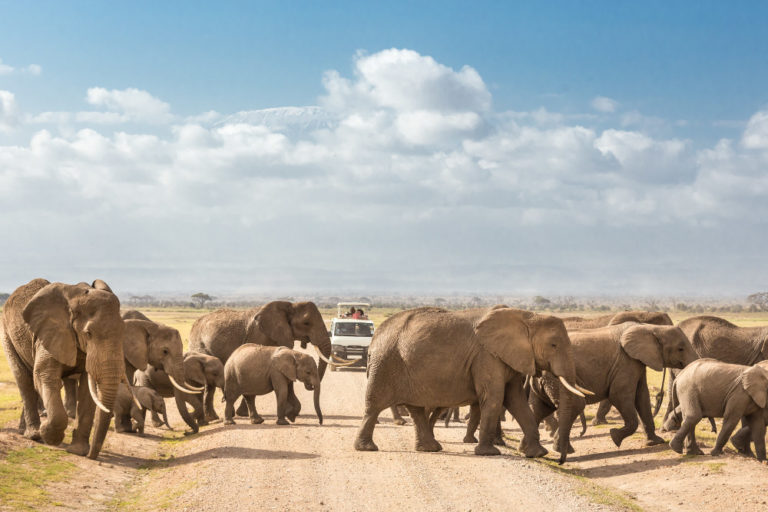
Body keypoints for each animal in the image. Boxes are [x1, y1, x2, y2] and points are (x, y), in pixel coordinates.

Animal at [0, 280, 125, 460]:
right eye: (88, 333)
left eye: (124, 331)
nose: (91, 456)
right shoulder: (50, 334)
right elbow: (45, 376)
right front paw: (48, 434)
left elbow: (87, 390)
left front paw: (78, 451)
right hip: (7, 335)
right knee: (24, 379)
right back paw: (34, 434)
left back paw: (25, 431)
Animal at [354, 306, 588, 466]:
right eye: (554, 345)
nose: (561, 461)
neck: (526, 316)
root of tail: (375, 337)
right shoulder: (487, 357)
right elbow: (495, 399)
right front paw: (489, 453)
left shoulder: (509, 358)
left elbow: (516, 401)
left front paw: (538, 453)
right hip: (385, 363)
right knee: (374, 406)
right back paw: (367, 448)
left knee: (416, 409)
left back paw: (431, 448)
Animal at [528, 324, 696, 448]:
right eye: (680, 348)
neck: (650, 328)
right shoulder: (626, 362)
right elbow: (619, 396)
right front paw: (614, 436)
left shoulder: (637, 362)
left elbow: (642, 397)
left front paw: (655, 442)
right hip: (555, 377)